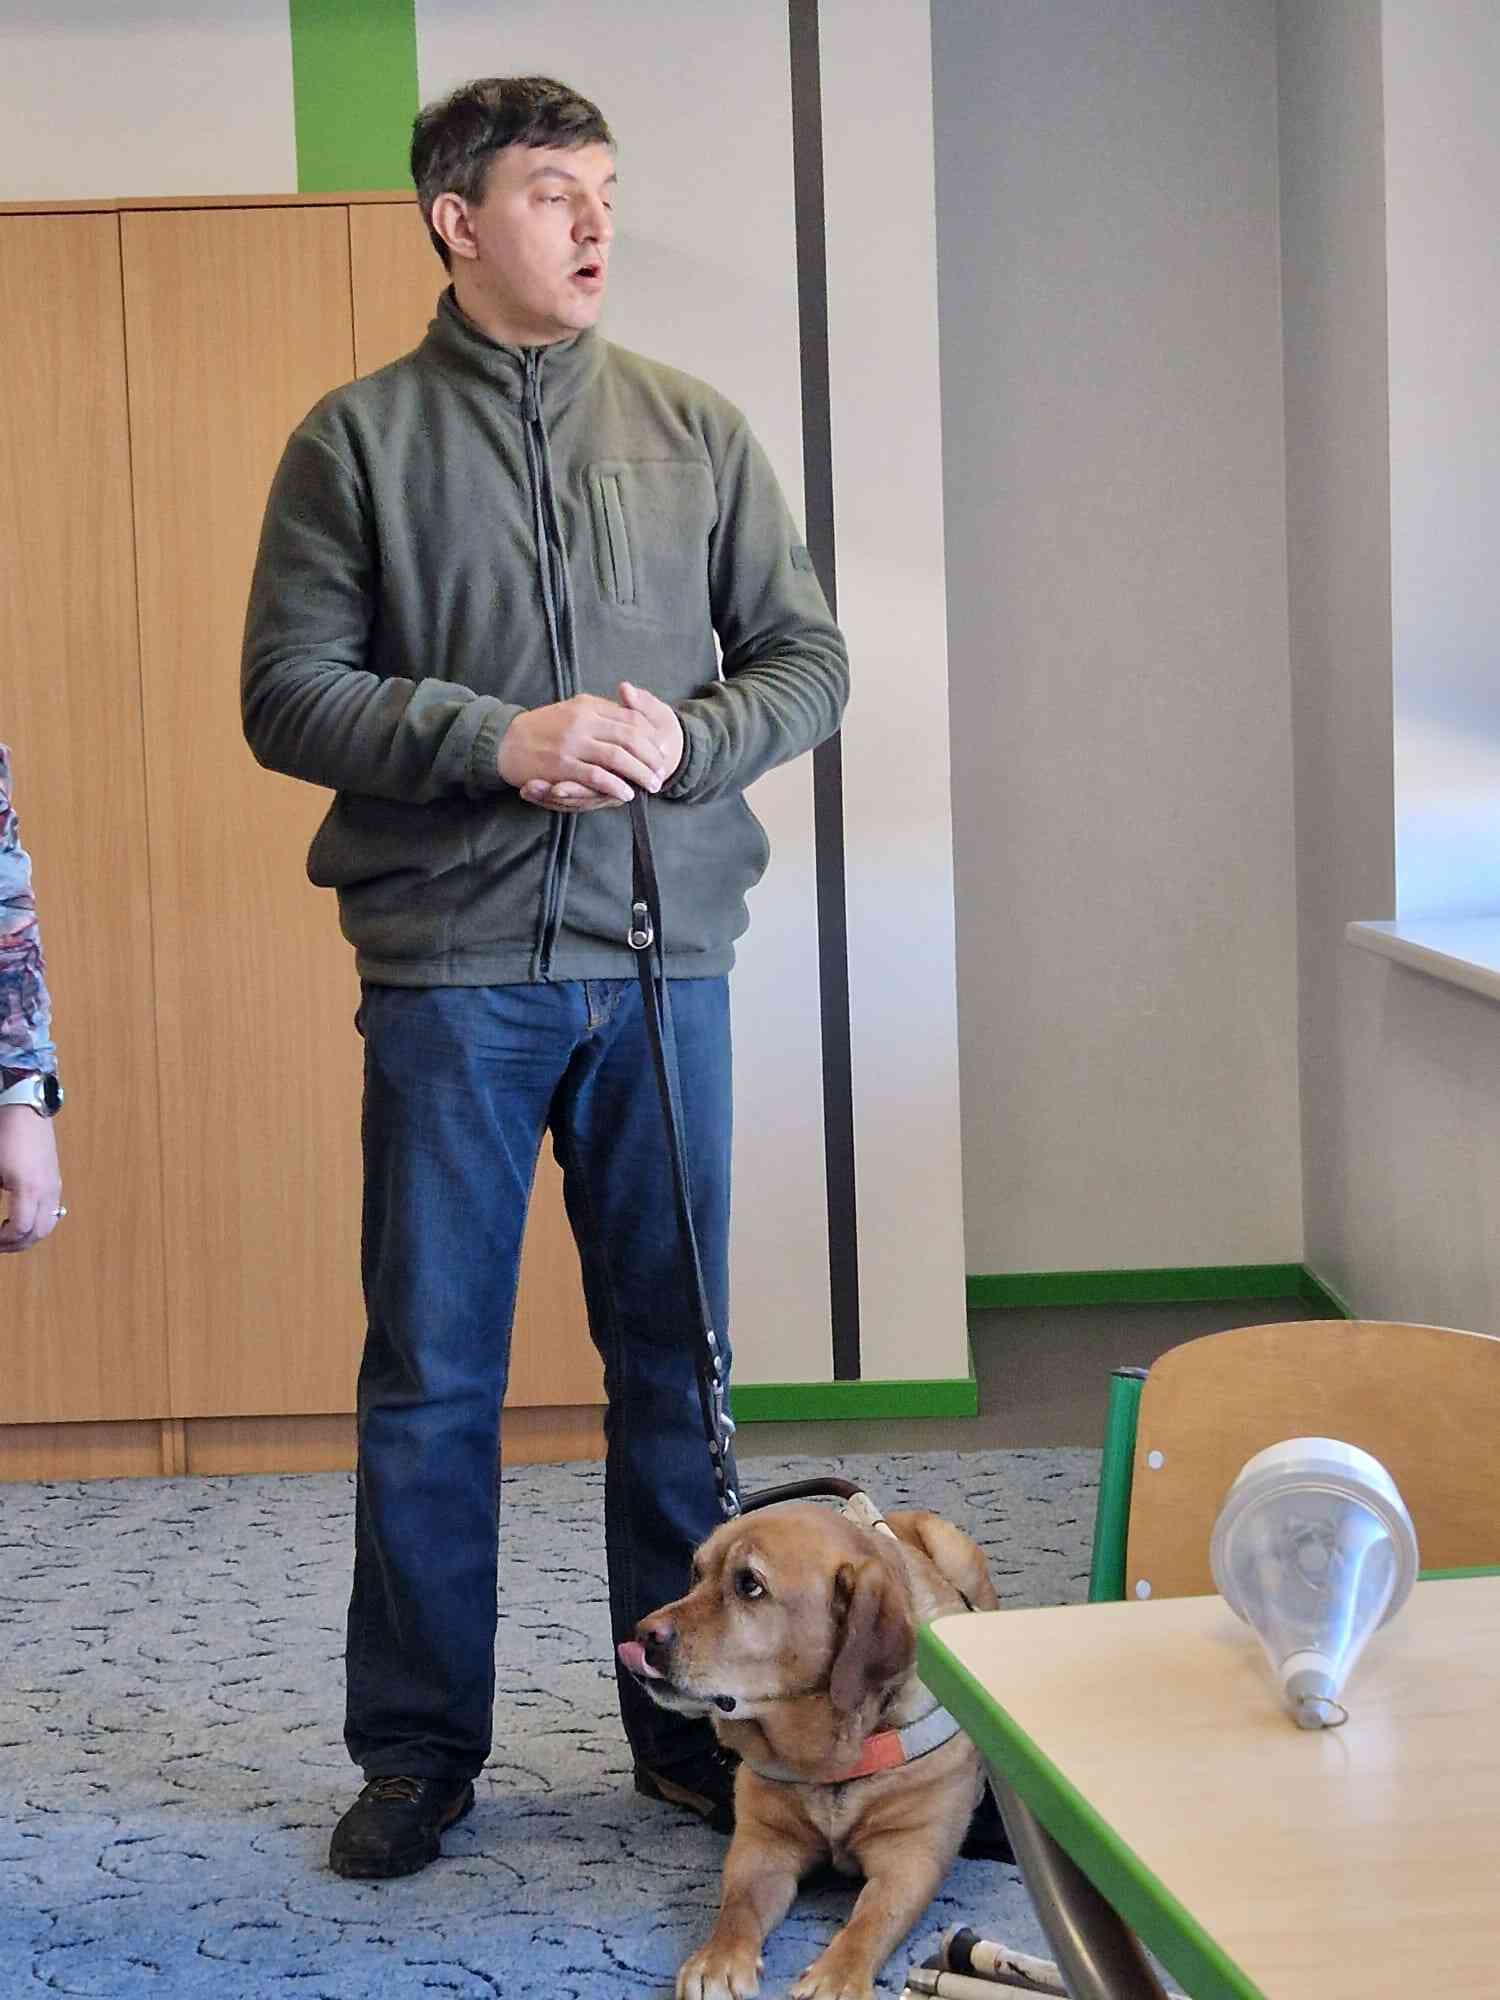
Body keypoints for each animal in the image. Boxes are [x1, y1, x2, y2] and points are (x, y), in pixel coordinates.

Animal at [618, 1497, 1000, 2000]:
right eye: (696, 1573)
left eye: (749, 1584)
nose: (642, 1634)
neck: (826, 1757)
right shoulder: (763, 1843)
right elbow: (737, 1907)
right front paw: (717, 1960)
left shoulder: (911, 1855)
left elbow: (871, 1921)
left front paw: (837, 1976)